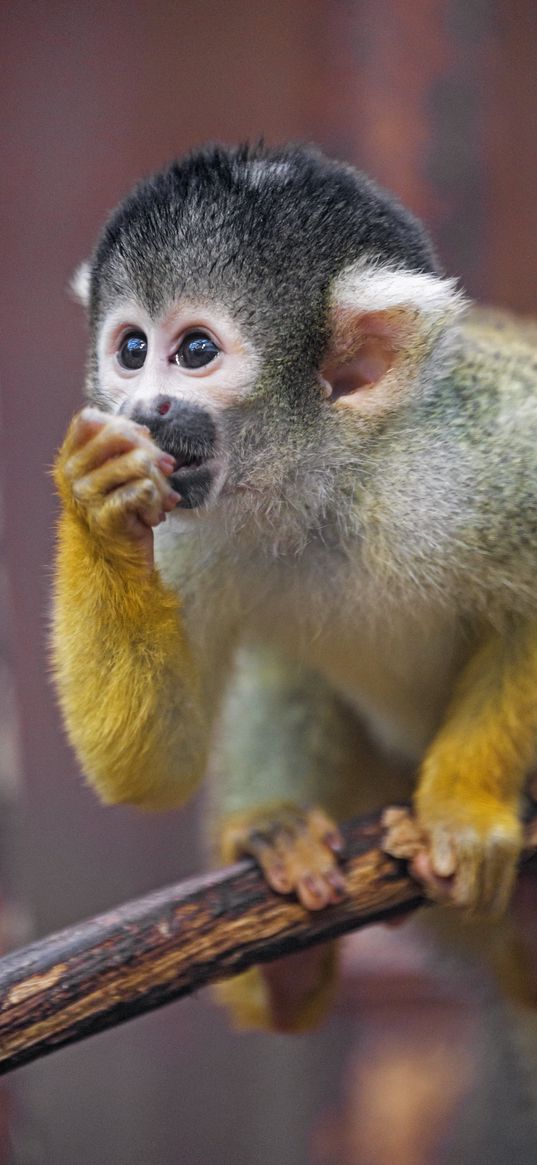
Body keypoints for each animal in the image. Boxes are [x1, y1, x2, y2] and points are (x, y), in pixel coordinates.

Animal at [51, 143, 537, 1029]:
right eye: (130, 349)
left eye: (194, 352)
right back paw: (283, 935)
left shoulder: (484, 452)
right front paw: (97, 500)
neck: (330, 479)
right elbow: (154, 766)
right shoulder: (185, 524)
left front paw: (463, 810)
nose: (142, 405)